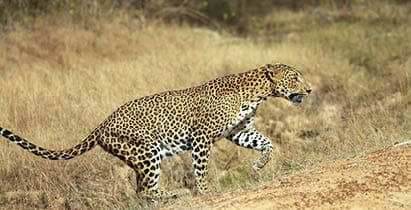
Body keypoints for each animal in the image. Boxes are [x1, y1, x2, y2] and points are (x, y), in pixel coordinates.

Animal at [0, 62, 312, 200]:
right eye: (295, 77)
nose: (309, 90)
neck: (257, 94)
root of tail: (102, 124)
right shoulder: (201, 137)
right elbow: (201, 169)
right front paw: (205, 191)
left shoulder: (238, 131)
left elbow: (266, 142)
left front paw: (260, 165)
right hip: (148, 150)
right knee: (148, 189)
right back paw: (176, 193)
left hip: (141, 157)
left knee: (140, 191)